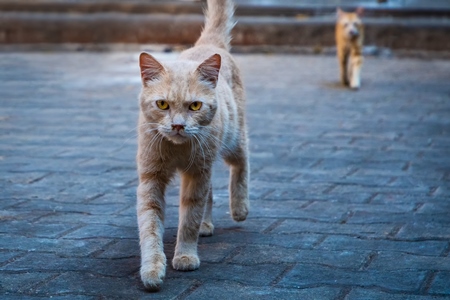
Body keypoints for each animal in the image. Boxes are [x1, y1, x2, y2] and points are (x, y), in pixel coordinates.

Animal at [137, 0, 250, 290]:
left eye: (195, 106)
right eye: (162, 104)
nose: (178, 126)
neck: (177, 148)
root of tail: (210, 44)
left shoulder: (197, 174)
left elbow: (189, 218)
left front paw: (185, 256)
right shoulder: (151, 179)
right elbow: (150, 226)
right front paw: (152, 270)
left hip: (232, 140)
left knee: (242, 164)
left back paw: (240, 208)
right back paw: (206, 226)